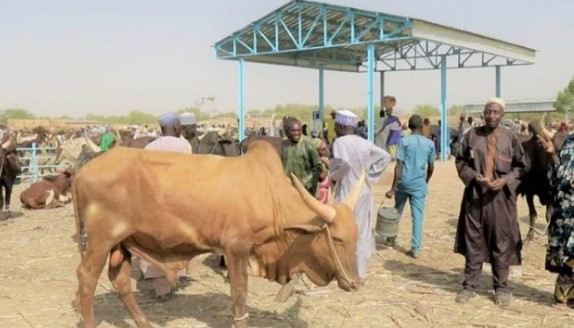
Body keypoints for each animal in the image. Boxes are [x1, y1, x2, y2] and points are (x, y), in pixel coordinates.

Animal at [73, 141, 364, 328]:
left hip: (122, 243)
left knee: (119, 280)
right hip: (102, 239)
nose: (356, 283)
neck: (269, 194)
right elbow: (240, 294)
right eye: (337, 239)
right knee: (86, 277)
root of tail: (83, 171)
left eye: (356, 236)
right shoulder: (236, 247)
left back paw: (144, 323)